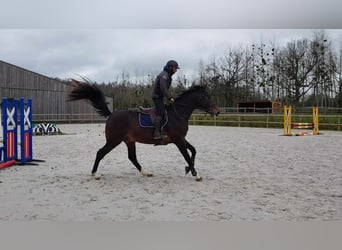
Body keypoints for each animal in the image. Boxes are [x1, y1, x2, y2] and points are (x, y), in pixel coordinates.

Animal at [69, 81, 219, 181]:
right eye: (205, 97)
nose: (217, 111)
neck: (178, 114)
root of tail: (111, 114)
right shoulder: (178, 140)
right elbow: (187, 155)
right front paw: (196, 174)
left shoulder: (181, 139)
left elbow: (193, 150)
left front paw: (189, 170)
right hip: (114, 140)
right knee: (101, 153)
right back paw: (95, 174)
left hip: (129, 141)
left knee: (132, 157)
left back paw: (146, 172)